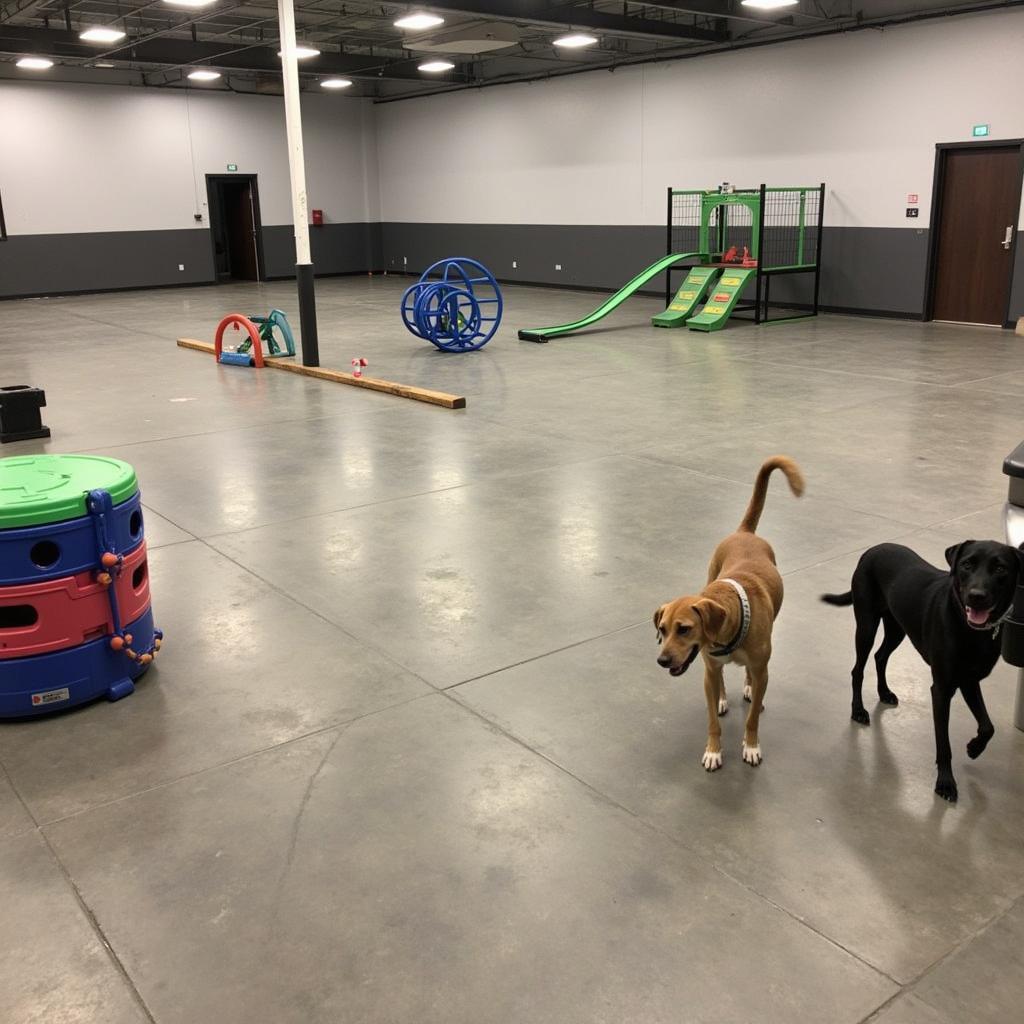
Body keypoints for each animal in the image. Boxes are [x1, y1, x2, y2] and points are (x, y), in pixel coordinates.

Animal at [651, 456, 802, 770]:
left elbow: (752, 718)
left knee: (752, 679)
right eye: (662, 629)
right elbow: (712, 720)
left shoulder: (762, 669)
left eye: (684, 629)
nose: (662, 660)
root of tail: (744, 532)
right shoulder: (708, 672)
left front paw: (751, 746)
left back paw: (750, 688)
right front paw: (713, 750)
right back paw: (722, 698)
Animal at [823, 540, 1024, 802]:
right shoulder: (941, 689)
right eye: (966, 564)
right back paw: (858, 710)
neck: (969, 629)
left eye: (1000, 569)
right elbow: (944, 743)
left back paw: (884, 692)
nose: (976, 596)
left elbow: (988, 726)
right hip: (866, 624)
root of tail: (872, 549)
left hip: (897, 626)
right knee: (858, 669)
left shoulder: (969, 681)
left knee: (880, 656)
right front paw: (945, 783)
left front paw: (974, 747)